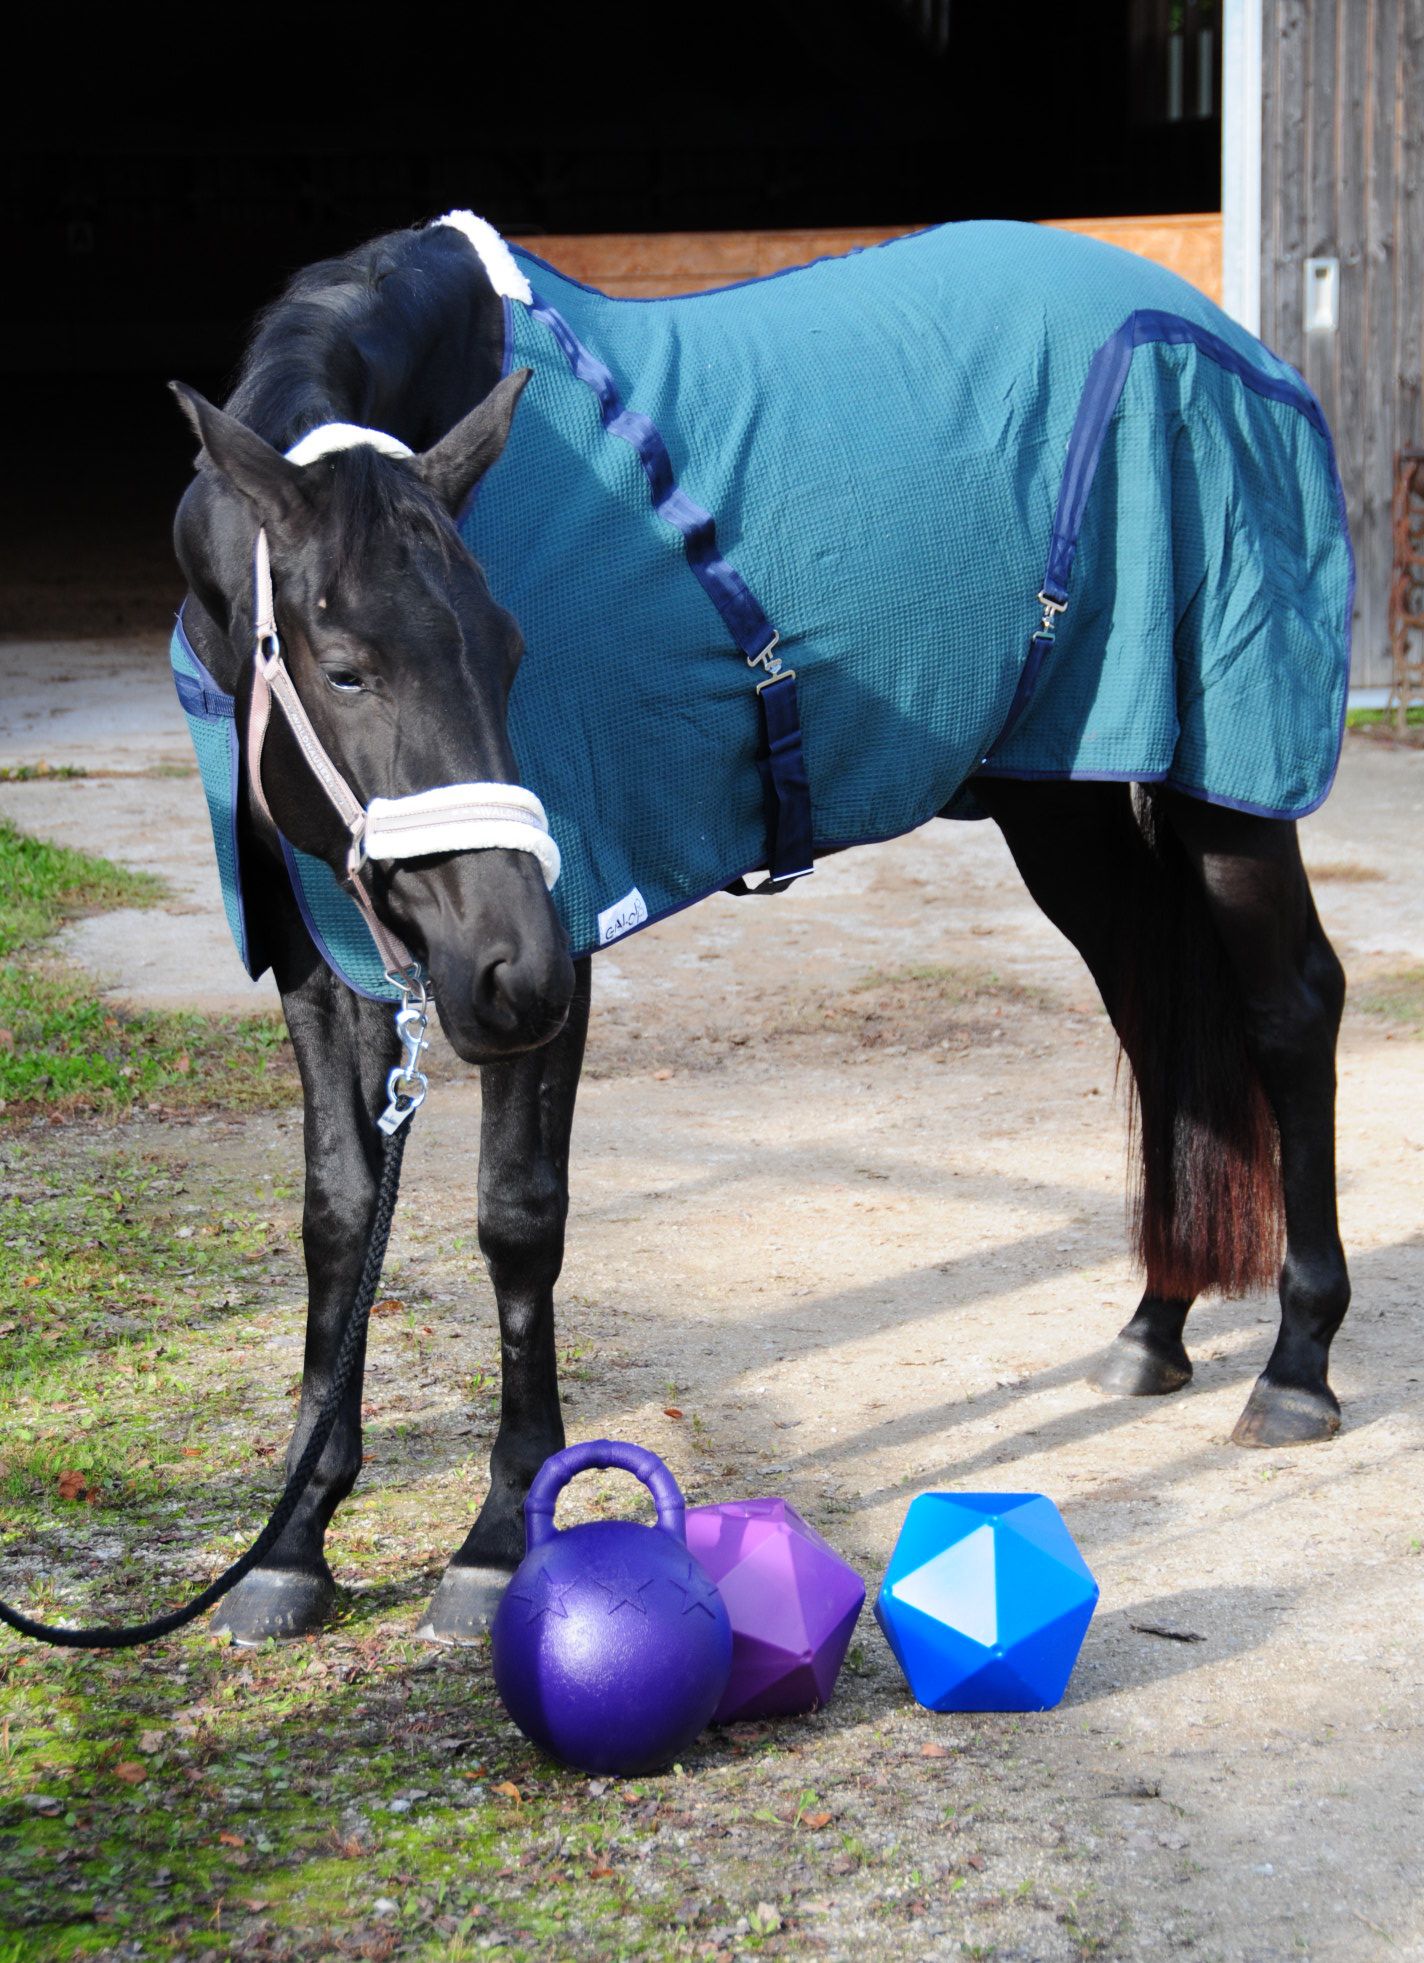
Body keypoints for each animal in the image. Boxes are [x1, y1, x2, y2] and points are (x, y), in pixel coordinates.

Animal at [170, 211, 1352, 1644]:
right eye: (346, 670)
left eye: (515, 654)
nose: (506, 968)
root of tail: (1241, 353)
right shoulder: (314, 960)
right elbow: (339, 1218)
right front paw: (290, 1543)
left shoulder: (566, 932)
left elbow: (517, 1217)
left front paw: (502, 1536)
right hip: (1061, 805)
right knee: (1158, 1023)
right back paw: (1153, 1330)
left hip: (1225, 787)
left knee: (1289, 1012)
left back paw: (1294, 1367)